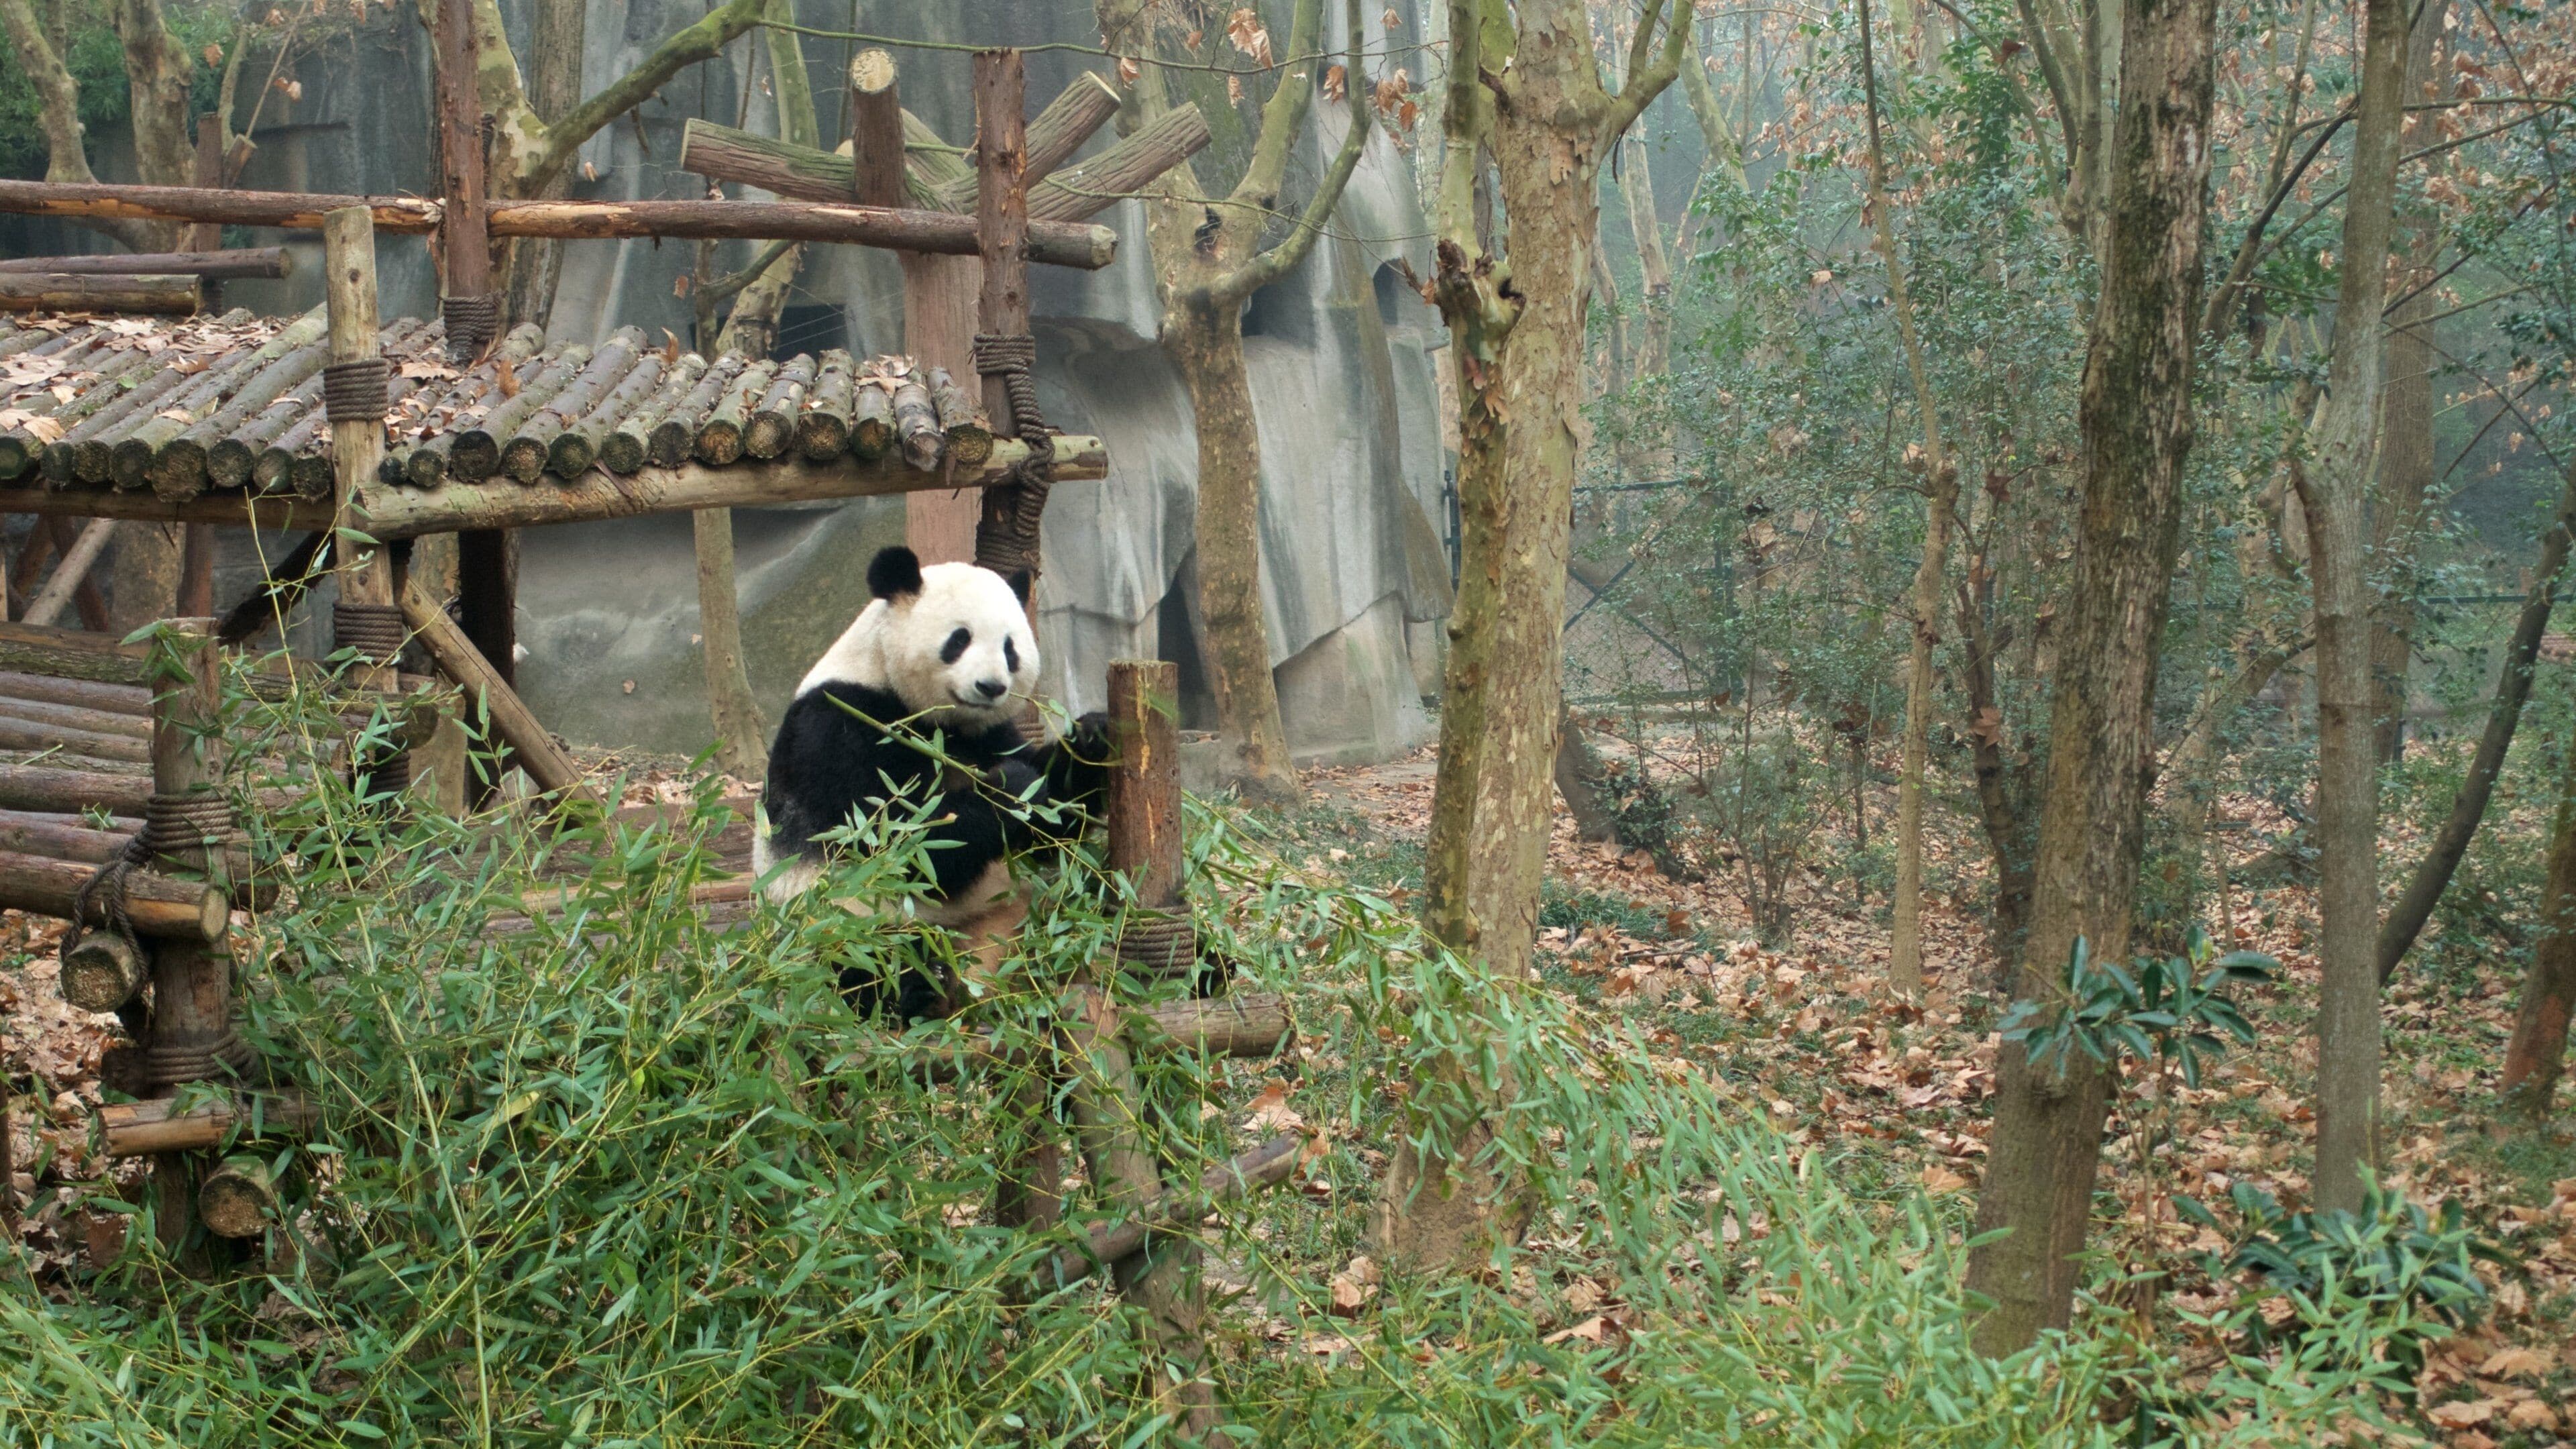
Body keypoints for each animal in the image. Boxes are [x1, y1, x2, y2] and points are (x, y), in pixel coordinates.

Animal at [753, 545, 1110, 1019]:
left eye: (1010, 648)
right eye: (959, 639)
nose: (991, 686)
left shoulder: (986, 735)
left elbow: (1047, 827)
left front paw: (1092, 738)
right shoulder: (839, 725)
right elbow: (897, 845)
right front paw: (1008, 788)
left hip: (1023, 909)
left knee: (1074, 920)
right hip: (834, 921)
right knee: (864, 961)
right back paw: (924, 985)